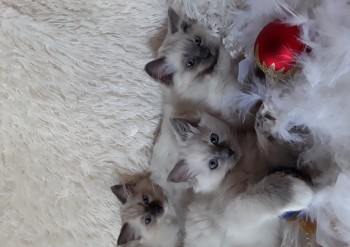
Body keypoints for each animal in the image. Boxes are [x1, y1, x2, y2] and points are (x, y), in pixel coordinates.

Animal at [168, 115, 314, 246]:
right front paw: (296, 190)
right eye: (213, 164)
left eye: (214, 139)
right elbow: (258, 196)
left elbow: (269, 144)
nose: (229, 152)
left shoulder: (277, 159)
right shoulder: (231, 215)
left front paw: (264, 125)